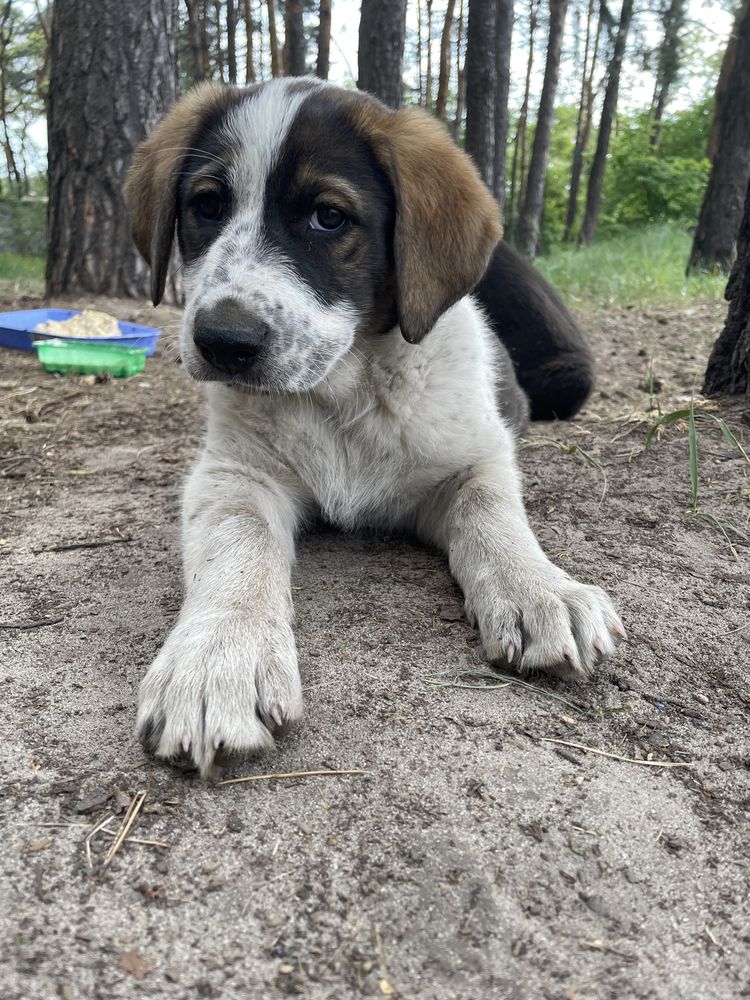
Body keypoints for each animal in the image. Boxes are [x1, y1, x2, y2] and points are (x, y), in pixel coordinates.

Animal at [126, 80, 624, 780]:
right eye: (206, 205)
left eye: (328, 217)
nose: (221, 341)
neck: (345, 393)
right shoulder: (234, 474)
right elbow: (237, 547)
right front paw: (217, 659)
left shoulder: (472, 458)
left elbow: (492, 514)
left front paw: (540, 587)